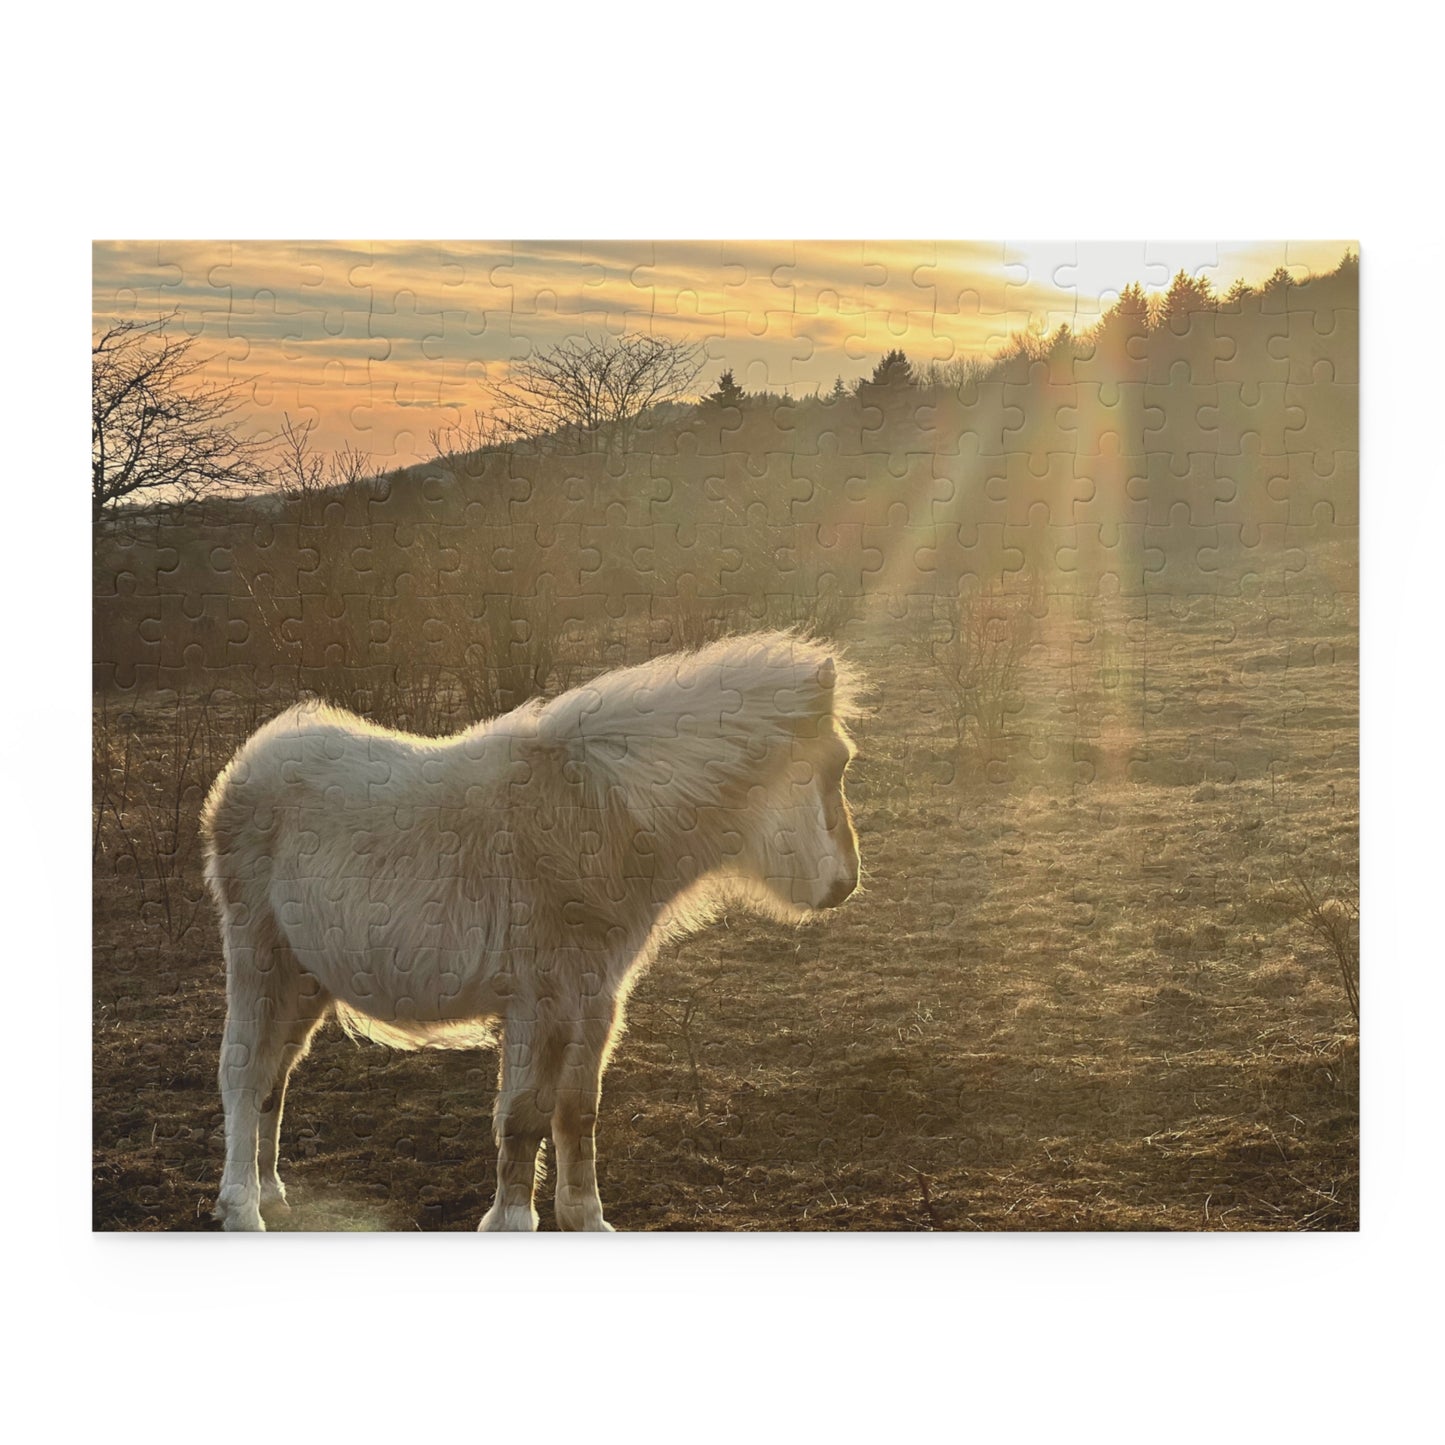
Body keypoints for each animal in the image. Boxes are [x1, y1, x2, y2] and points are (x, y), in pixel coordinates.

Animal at [202, 631, 863, 1231]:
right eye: (835, 765)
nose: (845, 884)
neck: (596, 817)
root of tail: (246, 766)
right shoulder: (540, 1002)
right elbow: (525, 1116)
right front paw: (513, 1222)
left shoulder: (595, 999)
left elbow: (578, 1111)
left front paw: (585, 1217)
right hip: (261, 959)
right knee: (242, 1073)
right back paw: (242, 1209)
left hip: (307, 978)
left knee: (274, 1079)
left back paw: (271, 1195)